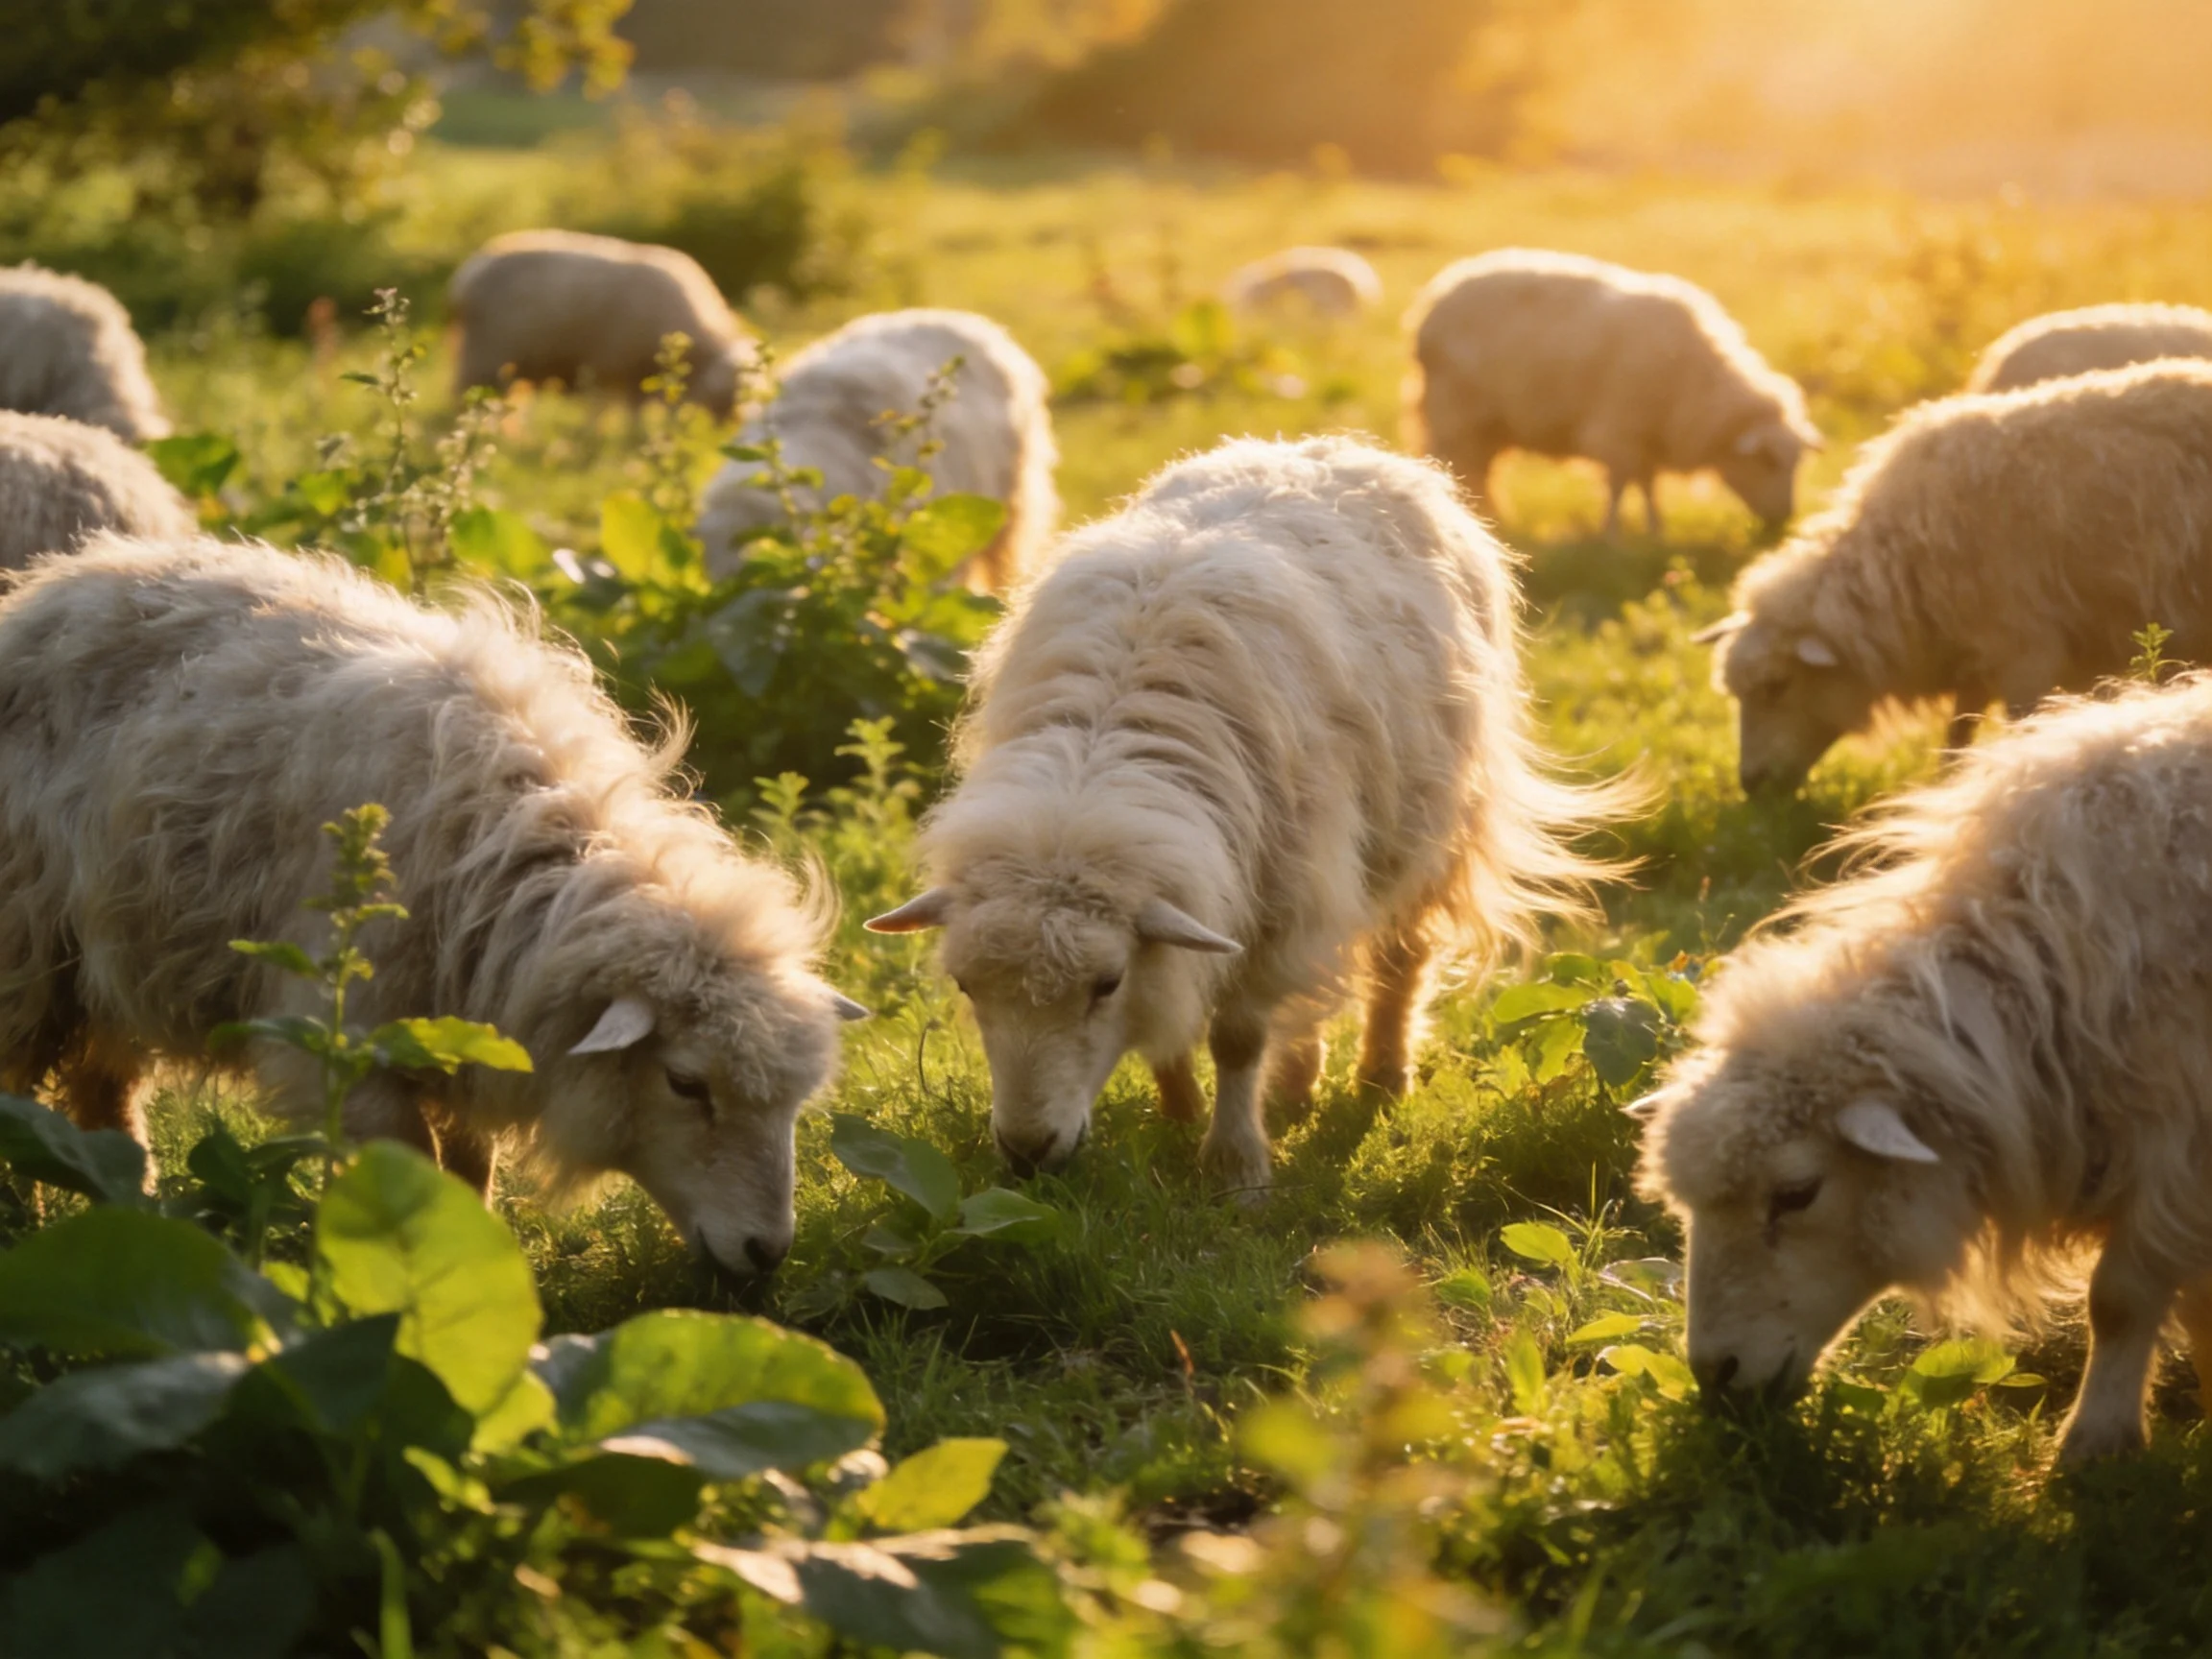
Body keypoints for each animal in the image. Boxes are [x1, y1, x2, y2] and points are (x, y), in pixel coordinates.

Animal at [0, 534, 865, 1276]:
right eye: (686, 1084)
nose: (766, 1252)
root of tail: (59, 576)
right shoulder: (340, 1040)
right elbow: (409, 1169)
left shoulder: (474, 1028)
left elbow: (471, 1167)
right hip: (25, 953)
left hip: (111, 961)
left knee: (103, 1100)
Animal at [447, 229, 757, 418]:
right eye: (731, 393)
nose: (733, 423)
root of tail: (468, 273)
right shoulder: (626, 367)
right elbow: (627, 415)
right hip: (482, 359)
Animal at [865, 435, 1623, 1193]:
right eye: (966, 985)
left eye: (1105, 984)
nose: (1026, 1153)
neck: (1093, 766)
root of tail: (1327, 444)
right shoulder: (1207, 895)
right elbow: (1176, 1007)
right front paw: (1178, 1115)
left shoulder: (1277, 898)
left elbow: (1238, 1038)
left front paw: (1236, 1168)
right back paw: (1297, 1080)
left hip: (1428, 831)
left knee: (1400, 958)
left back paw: (1380, 1076)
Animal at [1404, 248, 1818, 536]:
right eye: (1767, 461)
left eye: (1797, 463)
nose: (1783, 520)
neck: (1697, 382)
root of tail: (1432, 302)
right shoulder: (1619, 431)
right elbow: (1619, 486)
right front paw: (1611, 535)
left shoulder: (1647, 435)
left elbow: (1648, 485)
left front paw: (1655, 530)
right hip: (1454, 413)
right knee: (1459, 466)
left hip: (1487, 425)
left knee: (1482, 471)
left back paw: (1493, 517)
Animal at [1701, 359, 2212, 794]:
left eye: (1777, 686)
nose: (1751, 784)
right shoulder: (1977, 654)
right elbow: (1957, 733)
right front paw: (1947, 784)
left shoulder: (2027, 652)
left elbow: (2020, 728)